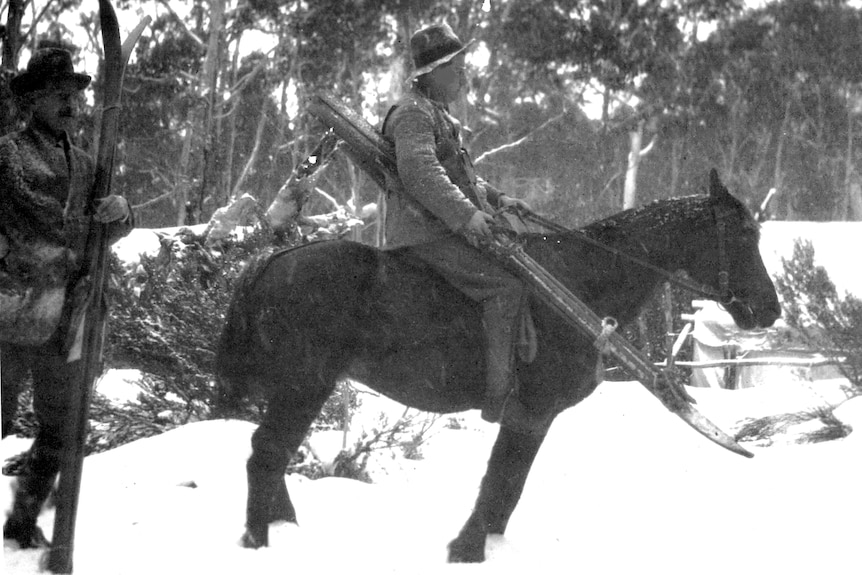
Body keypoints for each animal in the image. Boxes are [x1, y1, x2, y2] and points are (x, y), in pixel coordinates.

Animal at [216, 171, 784, 564]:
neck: (580, 282)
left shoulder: (537, 416)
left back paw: (284, 528)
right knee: (267, 452)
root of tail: (268, 261)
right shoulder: (530, 409)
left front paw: (484, 545)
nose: (769, 310)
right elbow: (501, 478)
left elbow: (511, 484)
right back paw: (260, 539)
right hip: (303, 386)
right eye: (743, 235)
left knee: (271, 450)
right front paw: (467, 549)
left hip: (297, 388)